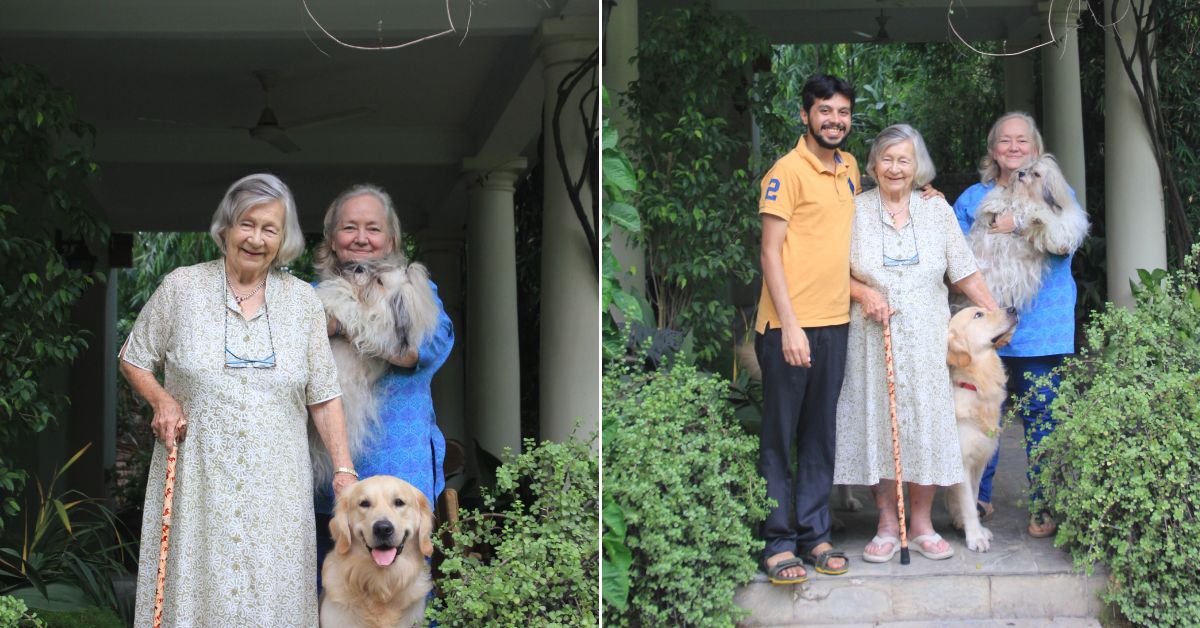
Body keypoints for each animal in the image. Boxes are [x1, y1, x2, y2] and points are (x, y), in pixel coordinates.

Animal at [309, 258, 441, 489]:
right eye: (376, 269)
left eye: (379, 281)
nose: (359, 267)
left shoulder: (371, 327)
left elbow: (349, 305)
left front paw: (333, 297)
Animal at [945, 307, 1012, 552]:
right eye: (978, 315)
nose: (1013, 309)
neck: (975, 385)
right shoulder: (961, 463)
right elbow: (966, 502)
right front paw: (975, 537)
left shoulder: (979, 462)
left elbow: (973, 499)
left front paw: (976, 530)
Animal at [964, 154, 1089, 312]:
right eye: (1024, 169)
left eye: (1036, 174)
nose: (1021, 173)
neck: (1028, 199)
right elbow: (1000, 198)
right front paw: (995, 206)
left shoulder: (1066, 225)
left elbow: (1054, 227)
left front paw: (1038, 219)